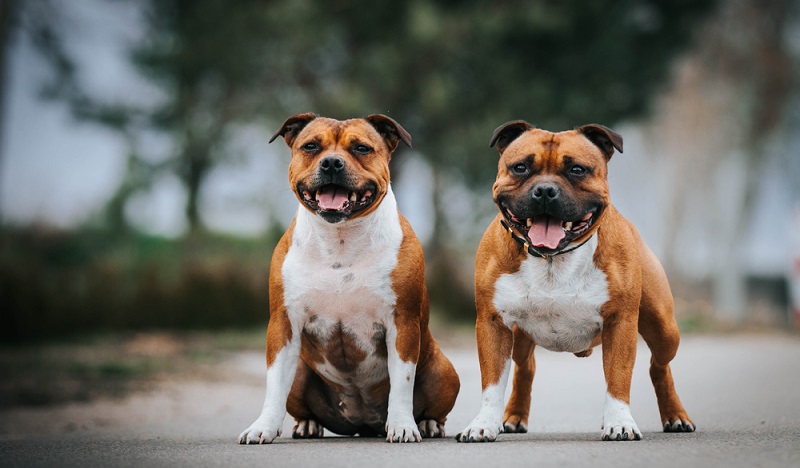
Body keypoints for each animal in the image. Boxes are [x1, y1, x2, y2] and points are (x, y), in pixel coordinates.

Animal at [238, 115, 460, 444]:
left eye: (361, 148)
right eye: (311, 146)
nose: (331, 163)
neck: (339, 239)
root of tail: (363, 422)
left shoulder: (402, 323)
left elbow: (402, 383)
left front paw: (403, 426)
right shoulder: (283, 324)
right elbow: (274, 384)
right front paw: (262, 427)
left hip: (443, 372)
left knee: (433, 406)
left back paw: (428, 424)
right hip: (301, 372)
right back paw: (307, 425)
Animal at [456, 120, 692, 442]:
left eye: (577, 170)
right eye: (520, 167)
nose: (545, 190)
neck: (552, 259)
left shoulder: (620, 323)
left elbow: (618, 377)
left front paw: (620, 422)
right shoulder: (494, 323)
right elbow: (492, 383)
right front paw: (482, 424)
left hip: (663, 326)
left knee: (659, 365)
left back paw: (675, 416)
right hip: (519, 335)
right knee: (526, 367)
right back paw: (514, 416)